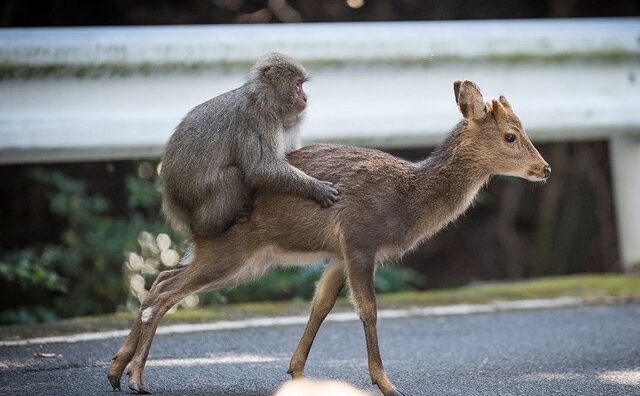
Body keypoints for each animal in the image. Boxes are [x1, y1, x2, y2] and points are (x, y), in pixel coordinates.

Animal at [106, 79, 552, 394]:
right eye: (511, 135)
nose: (545, 169)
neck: (406, 201)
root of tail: (192, 216)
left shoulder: (337, 253)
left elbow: (319, 306)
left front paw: (297, 373)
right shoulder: (360, 239)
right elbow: (368, 309)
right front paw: (387, 384)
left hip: (240, 258)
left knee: (160, 280)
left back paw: (115, 369)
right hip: (232, 250)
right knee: (165, 291)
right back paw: (137, 378)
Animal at [160, 51, 340, 235]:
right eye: (298, 84)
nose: (305, 97)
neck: (266, 98)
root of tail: (172, 200)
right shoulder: (260, 118)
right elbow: (260, 169)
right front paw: (316, 188)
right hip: (193, 195)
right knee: (231, 176)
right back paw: (209, 227)